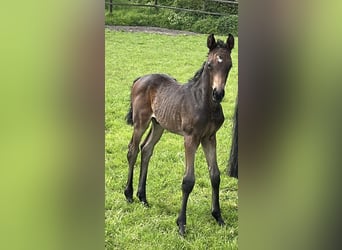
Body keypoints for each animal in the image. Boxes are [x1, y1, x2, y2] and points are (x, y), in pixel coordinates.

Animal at [124, 33, 234, 236]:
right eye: (209, 65)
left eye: (229, 65)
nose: (218, 93)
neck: (205, 103)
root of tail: (140, 79)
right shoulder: (191, 138)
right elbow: (188, 180)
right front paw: (181, 224)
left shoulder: (210, 138)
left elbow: (215, 175)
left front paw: (218, 217)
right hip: (140, 122)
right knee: (133, 150)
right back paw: (128, 194)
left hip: (158, 124)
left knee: (146, 149)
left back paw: (143, 197)